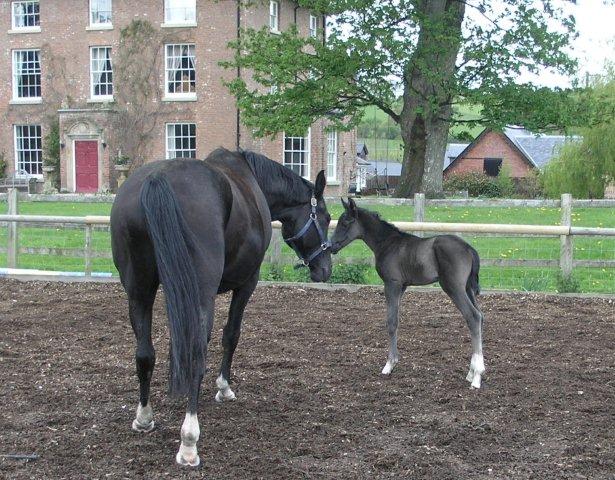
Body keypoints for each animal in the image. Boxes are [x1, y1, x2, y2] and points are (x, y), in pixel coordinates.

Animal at [332, 199, 486, 390]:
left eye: (345, 222)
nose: (329, 246)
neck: (388, 243)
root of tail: (469, 248)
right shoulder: (402, 287)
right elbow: (396, 320)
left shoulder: (392, 284)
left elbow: (391, 322)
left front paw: (389, 365)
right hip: (467, 288)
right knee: (480, 316)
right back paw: (471, 372)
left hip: (454, 288)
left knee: (473, 316)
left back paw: (477, 377)